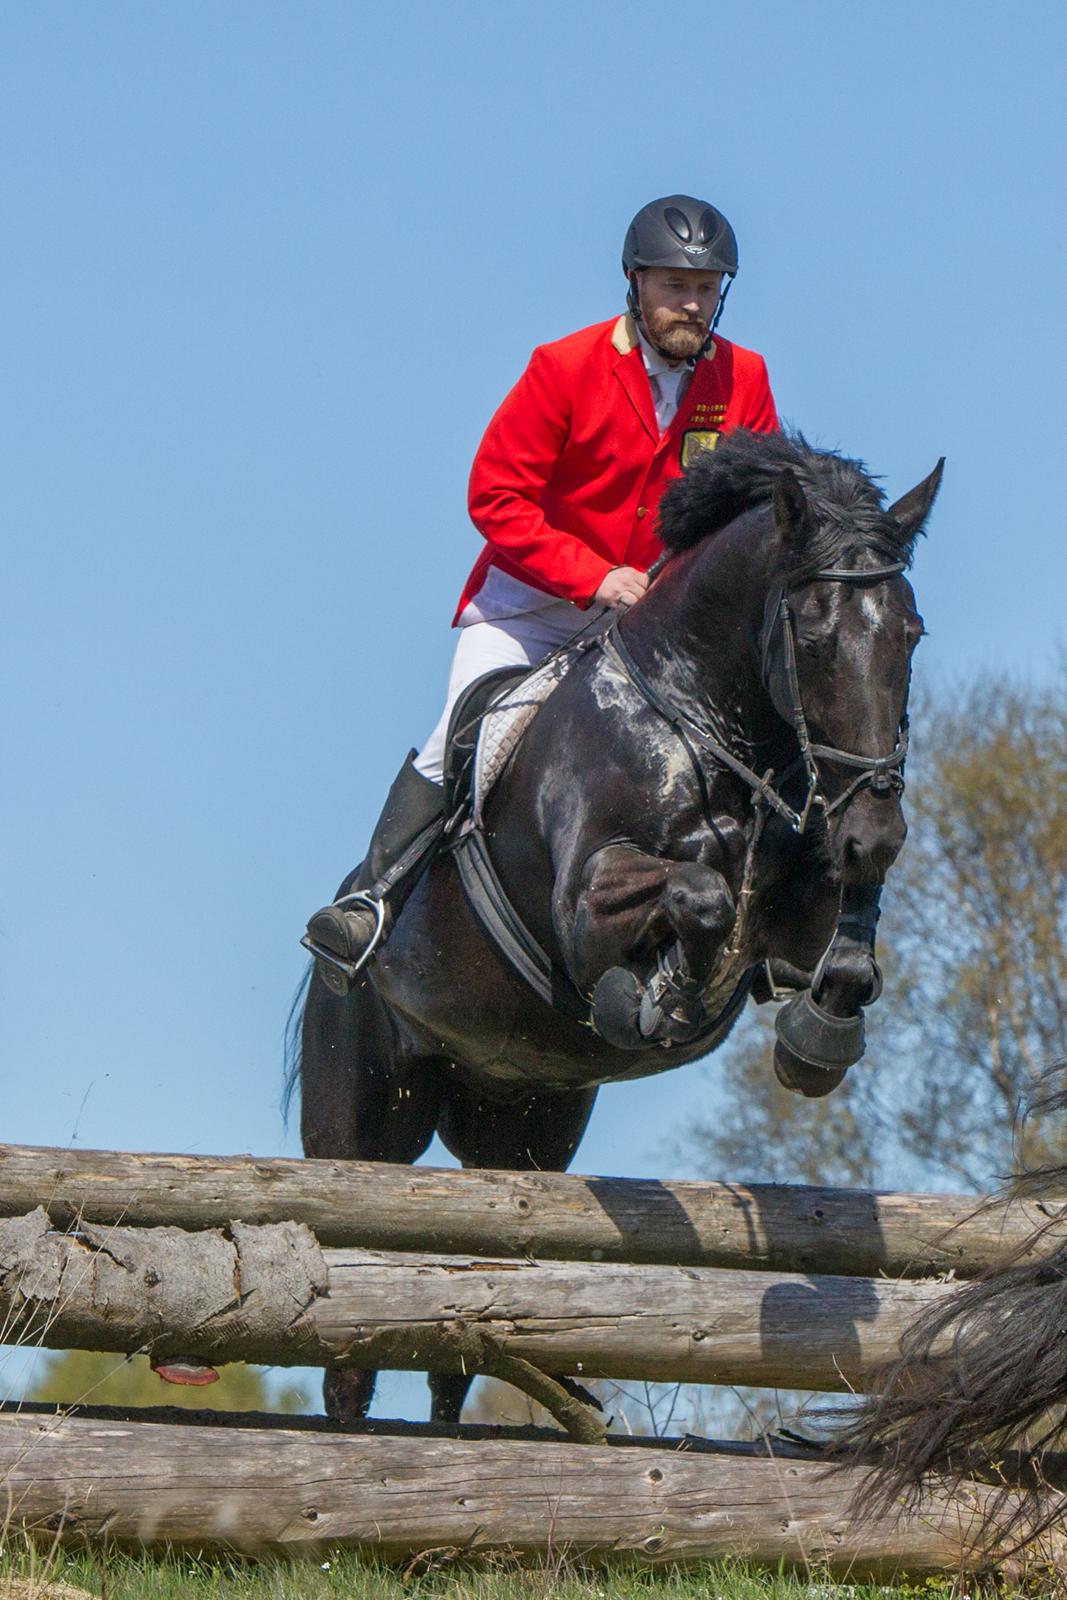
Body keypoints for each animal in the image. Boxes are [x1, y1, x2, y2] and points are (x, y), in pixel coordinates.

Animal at [290, 428, 942, 1425]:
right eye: (814, 637)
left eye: (908, 634)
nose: (876, 833)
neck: (707, 720)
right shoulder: (581, 900)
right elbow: (697, 897)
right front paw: (653, 999)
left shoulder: (799, 911)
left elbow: (840, 956)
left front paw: (816, 1038)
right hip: (360, 1122)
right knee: (350, 1354)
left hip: (521, 1127)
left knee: (460, 1330)